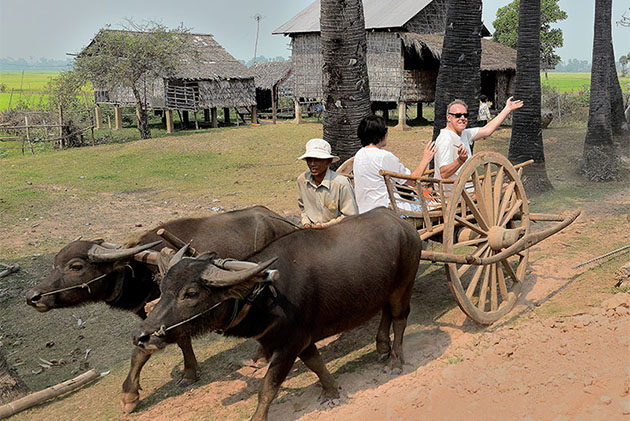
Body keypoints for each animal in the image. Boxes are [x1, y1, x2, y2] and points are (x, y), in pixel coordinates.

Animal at [25, 205, 298, 412]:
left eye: (75, 266)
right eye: (54, 264)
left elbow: (140, 351)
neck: (143, 268)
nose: (32, 297)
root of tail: (279, 219)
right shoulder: (164, 314)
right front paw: (189, 372)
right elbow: (180, 340)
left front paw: (129, 395)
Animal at [131, 208, 422, 420]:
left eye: (190, 293)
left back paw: (394, 361)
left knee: (400, 319)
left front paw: (258, 417)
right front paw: (331, 391)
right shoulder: (299, 339)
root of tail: (403, 223)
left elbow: (268, 387)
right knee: (386, 314)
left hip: (403, 286)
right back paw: (381, 348)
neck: (265, 293)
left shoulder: (289, 344)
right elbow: (315, 364)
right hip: (385, 290)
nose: (141, 336)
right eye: (162, 287)